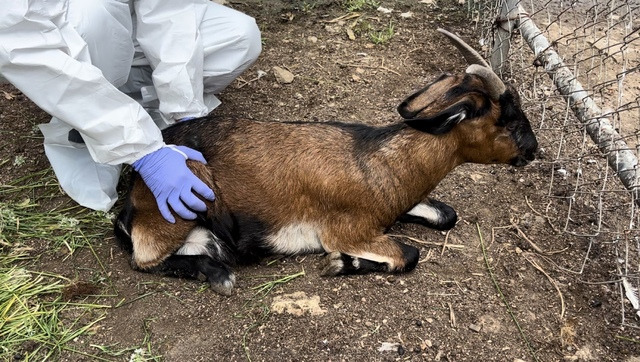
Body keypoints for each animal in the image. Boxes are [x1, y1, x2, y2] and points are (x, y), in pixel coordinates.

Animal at [112, 28, 536, 294]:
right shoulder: (347, 230)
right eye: (507, 119)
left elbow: (447, 214)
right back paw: (217, 273)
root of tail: (131, 188)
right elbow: (409, 254)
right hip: (182, 197)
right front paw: (341, 264)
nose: (533, 150)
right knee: (143, 259)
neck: (381, 164)